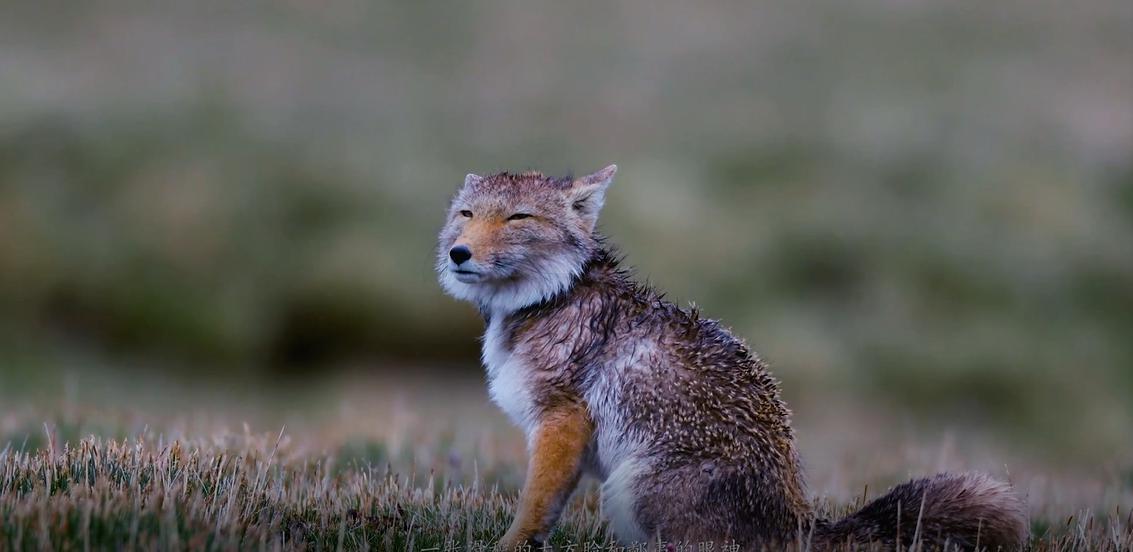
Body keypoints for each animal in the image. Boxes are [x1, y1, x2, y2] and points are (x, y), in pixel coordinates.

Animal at [432, 166, 1028, 550]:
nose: (458, 253)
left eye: (518, 218)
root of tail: (800, 524)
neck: (554, 296)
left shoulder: (561, 422)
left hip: (631, 489)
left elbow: (533, 507)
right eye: (466, 214)